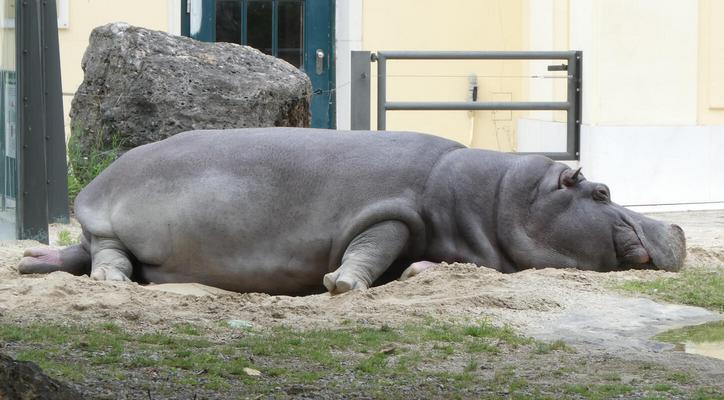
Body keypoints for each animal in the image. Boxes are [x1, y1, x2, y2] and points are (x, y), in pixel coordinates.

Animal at [18, 128, 686, 295]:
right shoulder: (390, 212)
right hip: (108, 219)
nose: (677, 227)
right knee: (107, 255)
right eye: (601, 193)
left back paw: (31, 263)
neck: (497, 196)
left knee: (81, 253)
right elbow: (374, 242)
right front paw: (342, 285)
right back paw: (108, 282)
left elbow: (411, 261)